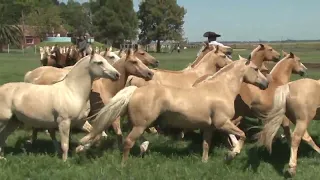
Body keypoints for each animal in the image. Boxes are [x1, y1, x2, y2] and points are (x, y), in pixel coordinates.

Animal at [76, 57, 268, 165]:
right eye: (256, 69)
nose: (266, 84)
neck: (219, 89)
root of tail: (135, 90)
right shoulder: (223, 123)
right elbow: (242, 135)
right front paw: (231, 155)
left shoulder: (209, 127)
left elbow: (206, 145)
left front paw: (205, 162)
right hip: (141, 124)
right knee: (128, 141)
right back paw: (124, 164)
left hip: (141, 124)